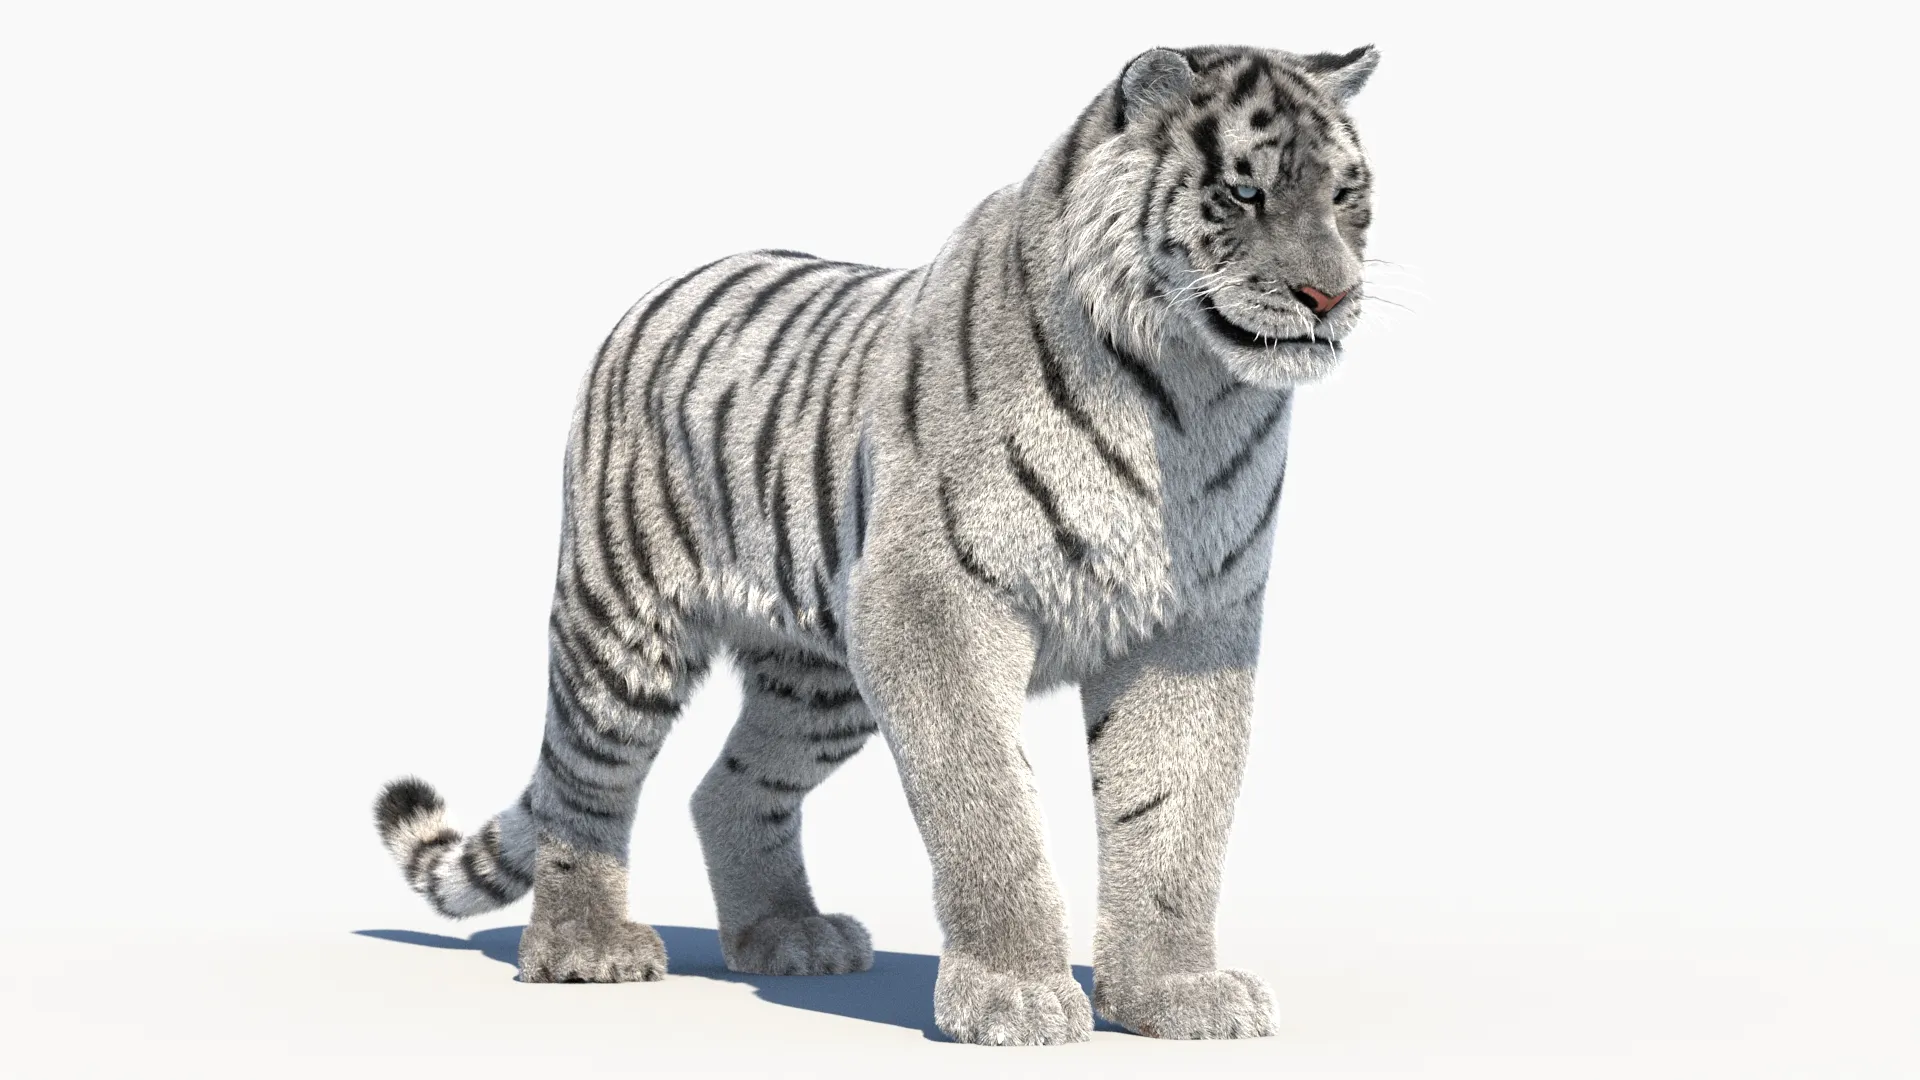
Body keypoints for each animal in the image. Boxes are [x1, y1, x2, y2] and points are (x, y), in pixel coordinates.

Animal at [373, 42, 1380, 1045]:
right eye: (1243, 193)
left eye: (1345, 198)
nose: (1330, 294)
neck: (1184, 391)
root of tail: (666, 287)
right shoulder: (935, 604)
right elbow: (989, 807)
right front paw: (1014, 996)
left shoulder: (1193, 625)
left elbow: (1173, 818)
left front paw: (1173, 994)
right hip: (622, 626)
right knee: (583, 788)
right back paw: (586, 947)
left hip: (822, 677)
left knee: (728, 788)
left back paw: (788, 936)